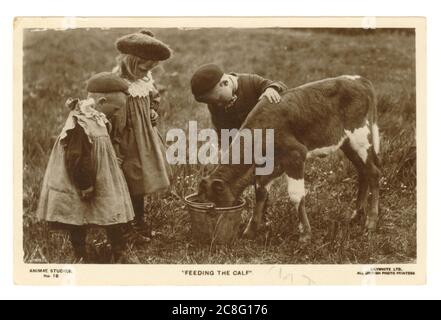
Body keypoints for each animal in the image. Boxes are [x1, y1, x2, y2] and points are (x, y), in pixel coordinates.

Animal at [198, 75, 380, 242]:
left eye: (213, 206)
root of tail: (358, 79)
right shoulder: (270, 167)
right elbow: (260, 192)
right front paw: (250, 231)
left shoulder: (295, 156)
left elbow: (296, 195)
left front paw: (305, 235)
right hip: (347, 143)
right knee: (363, 173)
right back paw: (355, 216)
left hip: (360, 138)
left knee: (373, 173)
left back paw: (371, 223)